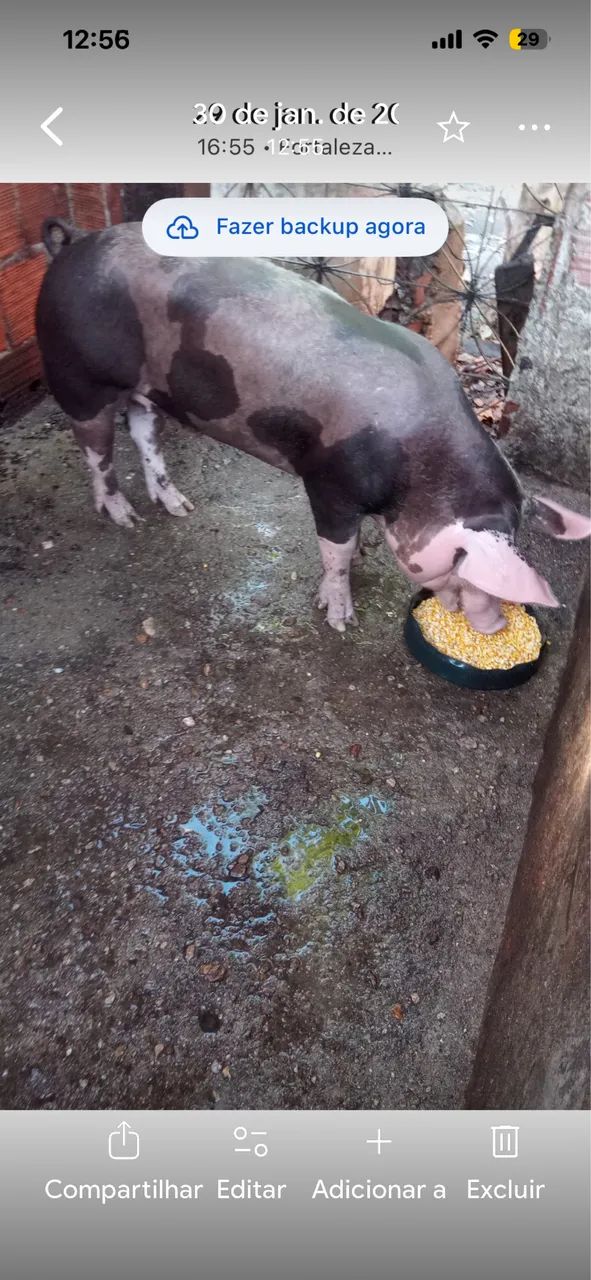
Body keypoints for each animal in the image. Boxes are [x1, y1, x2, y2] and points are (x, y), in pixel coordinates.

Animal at [36, 218, 590, 634]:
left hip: (145, 390)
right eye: (470, 570)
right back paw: (123, 516)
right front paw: (340, 618)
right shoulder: (329, 483)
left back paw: (178, 507)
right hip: (76, 377)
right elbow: (334, 549)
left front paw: (362, 560)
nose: (496, 625)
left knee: (145, 435)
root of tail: (71, 247)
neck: (421, 470)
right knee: (97, 453)